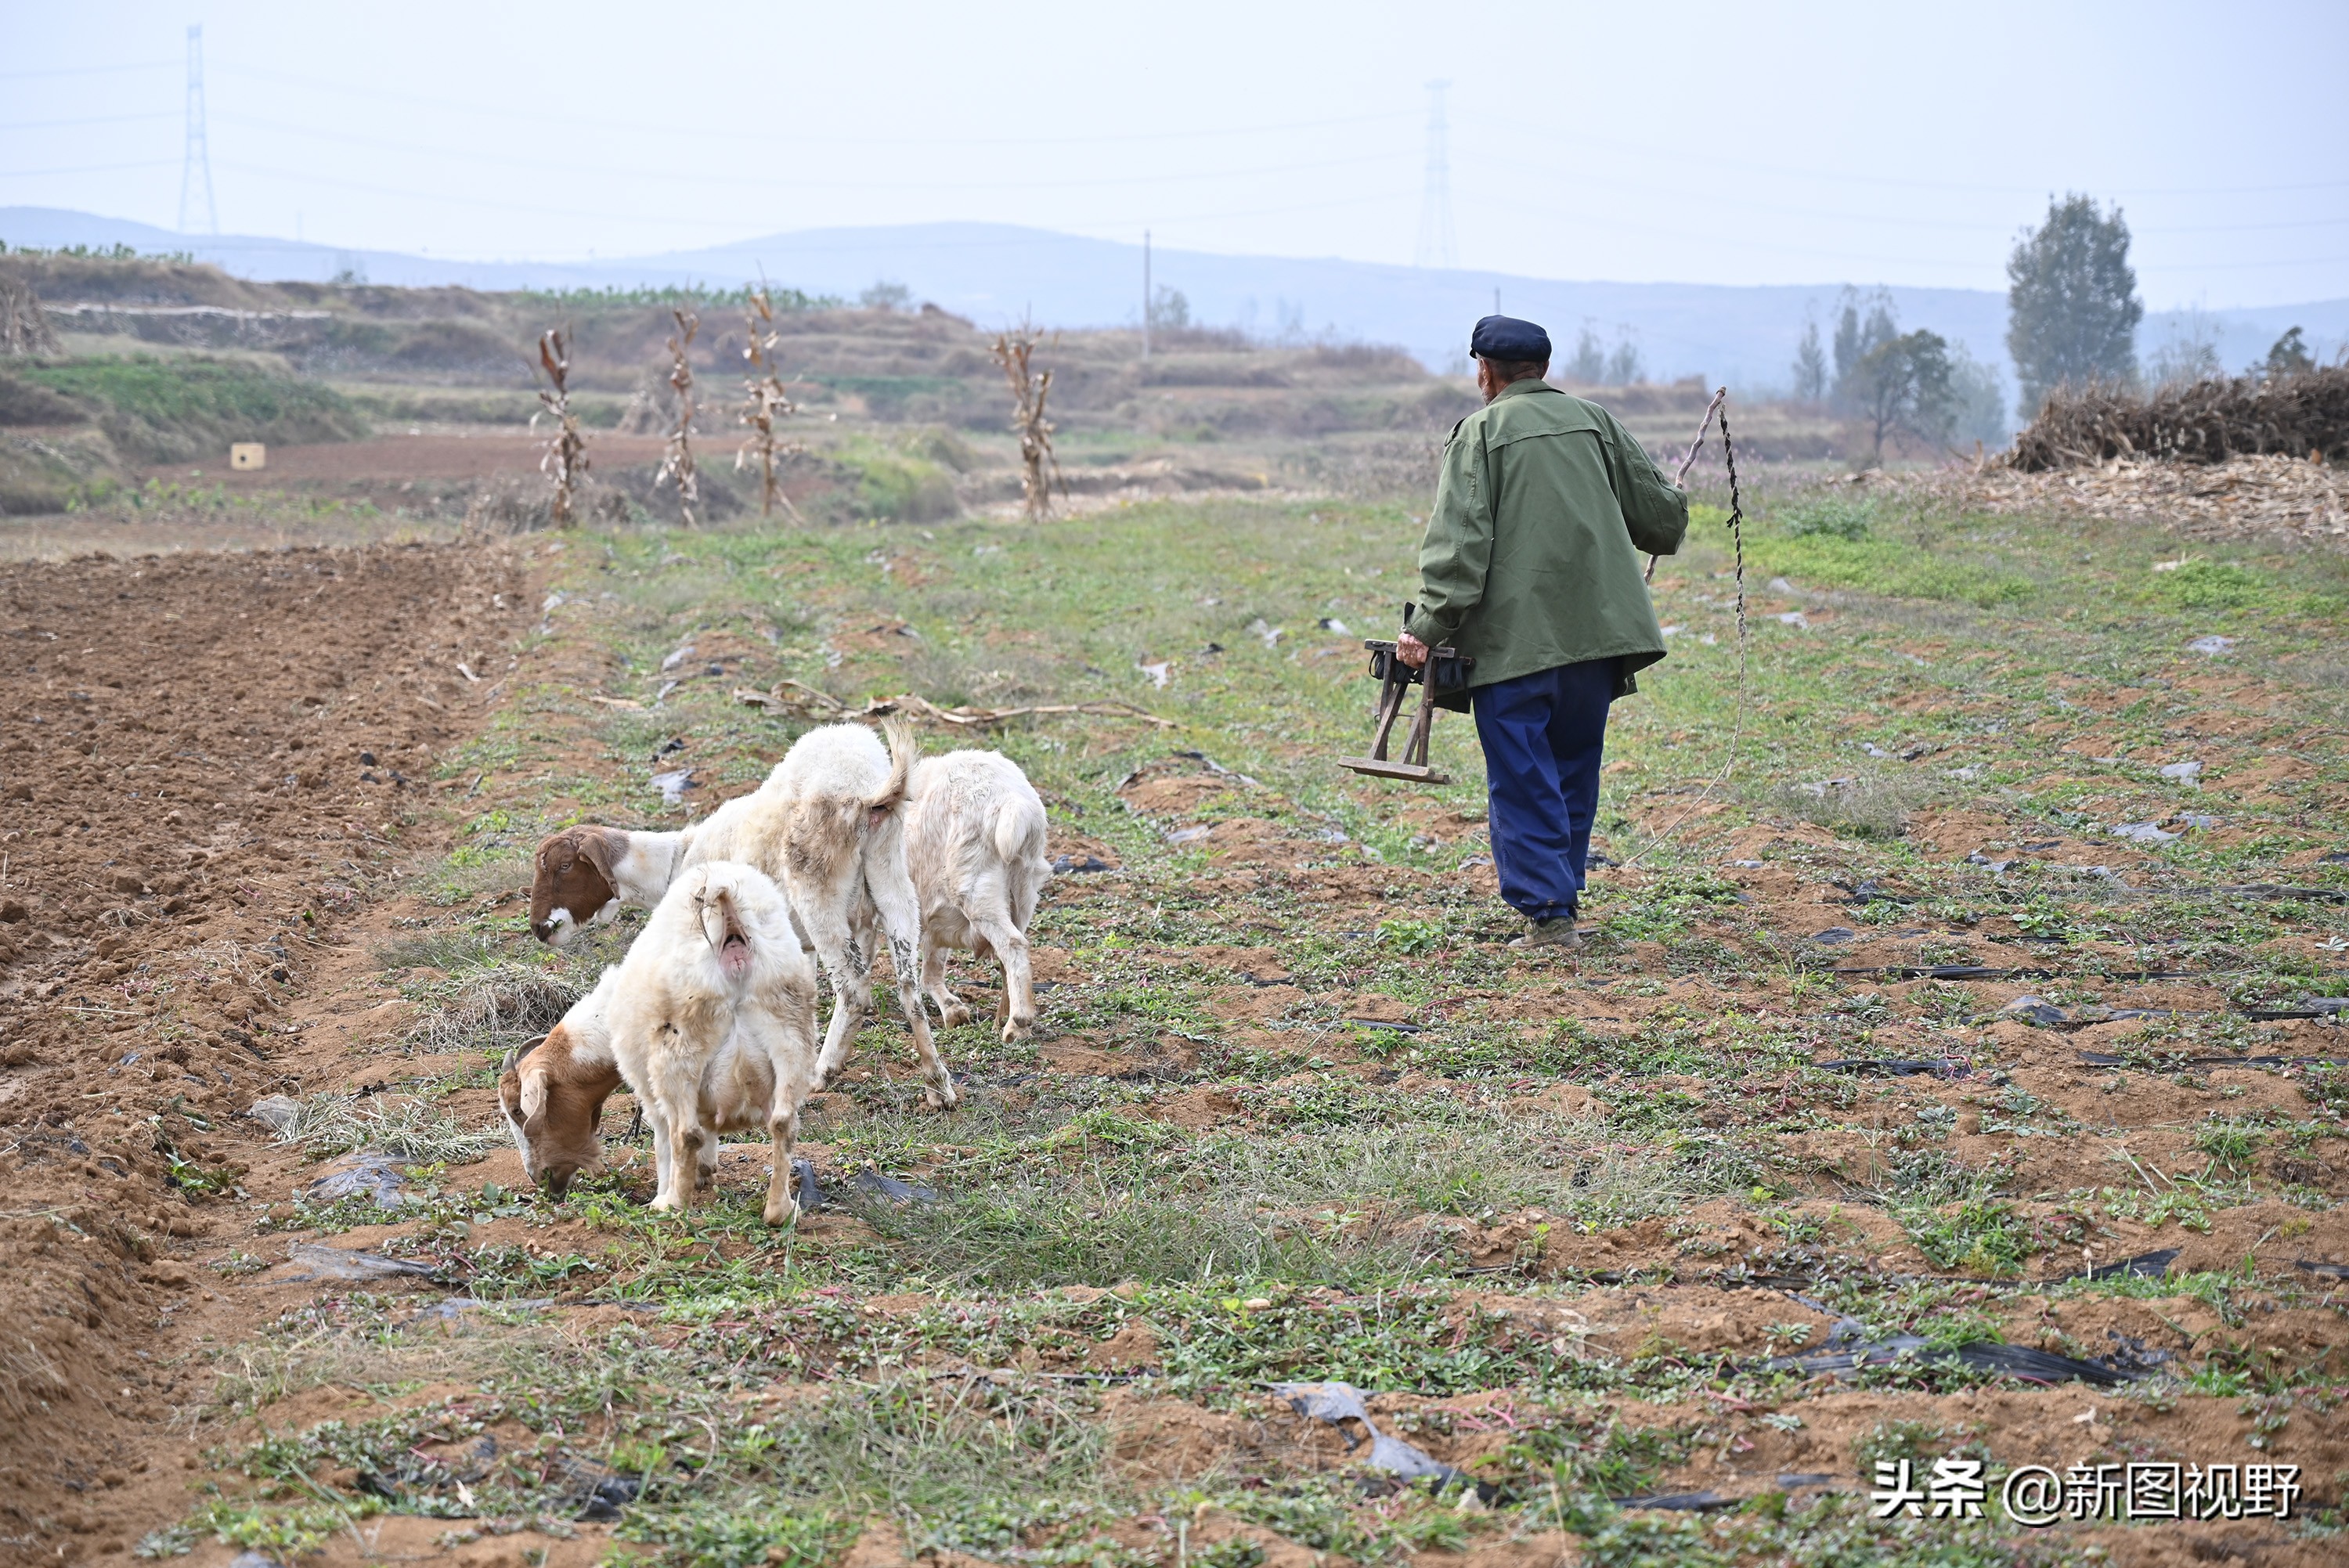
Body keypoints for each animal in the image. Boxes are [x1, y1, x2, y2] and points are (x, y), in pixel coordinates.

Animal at [601, 863, 822, 1220]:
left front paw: (669, 1189)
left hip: (679, 1048)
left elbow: (665, 1143)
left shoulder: (652, 1098)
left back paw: (673, 1205)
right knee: (783, 1123)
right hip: (791, 1034)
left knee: (685, 1133)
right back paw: (780, 1210)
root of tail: (732, 928)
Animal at [902, 751, 1052, 1047]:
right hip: (1024, 890)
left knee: (1013, 944)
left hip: (976, 888)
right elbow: (931, 970)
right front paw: (954, 1012)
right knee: (1011, 952)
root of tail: (1012, 801)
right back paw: (1003, 1021)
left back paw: (1016, 1024)